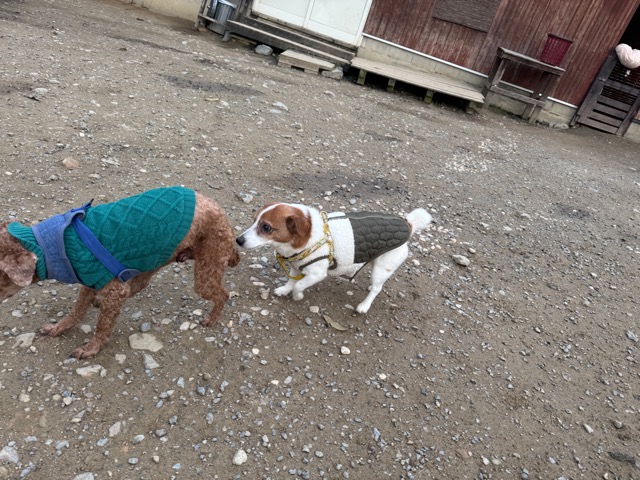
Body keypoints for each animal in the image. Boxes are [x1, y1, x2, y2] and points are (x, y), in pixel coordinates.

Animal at [0, 186, 240, 359]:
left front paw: (90, 349)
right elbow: (76, 311)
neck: (52, 246)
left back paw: (211, 319)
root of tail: (225, 217)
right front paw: (58, 328)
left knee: (223, 294)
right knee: (139, 284)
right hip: (154, 259)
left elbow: (102, 326)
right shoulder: (90, 281)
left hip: (206, 267)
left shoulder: (112, 288)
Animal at [235, 203, 432, 313]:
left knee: (377, 289)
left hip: (382, 267)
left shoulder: (316, 273)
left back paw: (364, 305)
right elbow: (291, 280)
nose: (238, 240)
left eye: (266, 227)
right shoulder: (296, 266)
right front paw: (285, 290)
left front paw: (297, 296)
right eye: (253, 220)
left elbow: (299, 284)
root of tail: (409, 224)